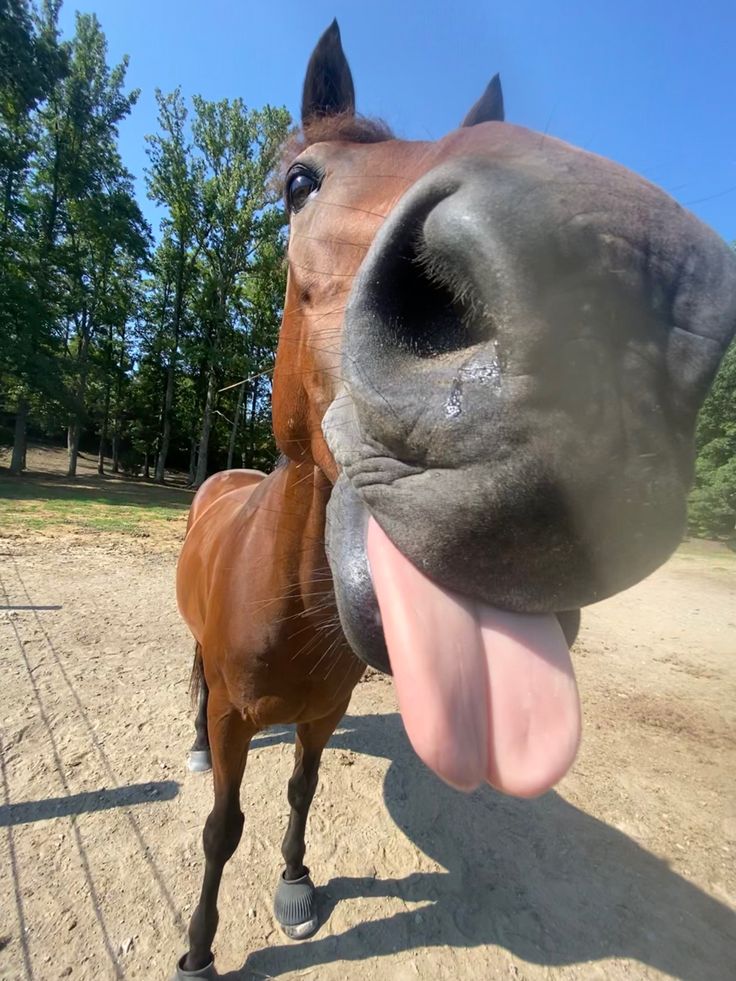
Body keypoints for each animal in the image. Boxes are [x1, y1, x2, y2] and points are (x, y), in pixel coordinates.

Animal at [174, 19, 736, 976]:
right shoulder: (240, 721)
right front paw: (200, 946)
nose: (615, 307)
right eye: (298, 183)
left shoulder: (321, 716)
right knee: (198, 692)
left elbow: (300, 792)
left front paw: (296, 885)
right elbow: (222, 828)